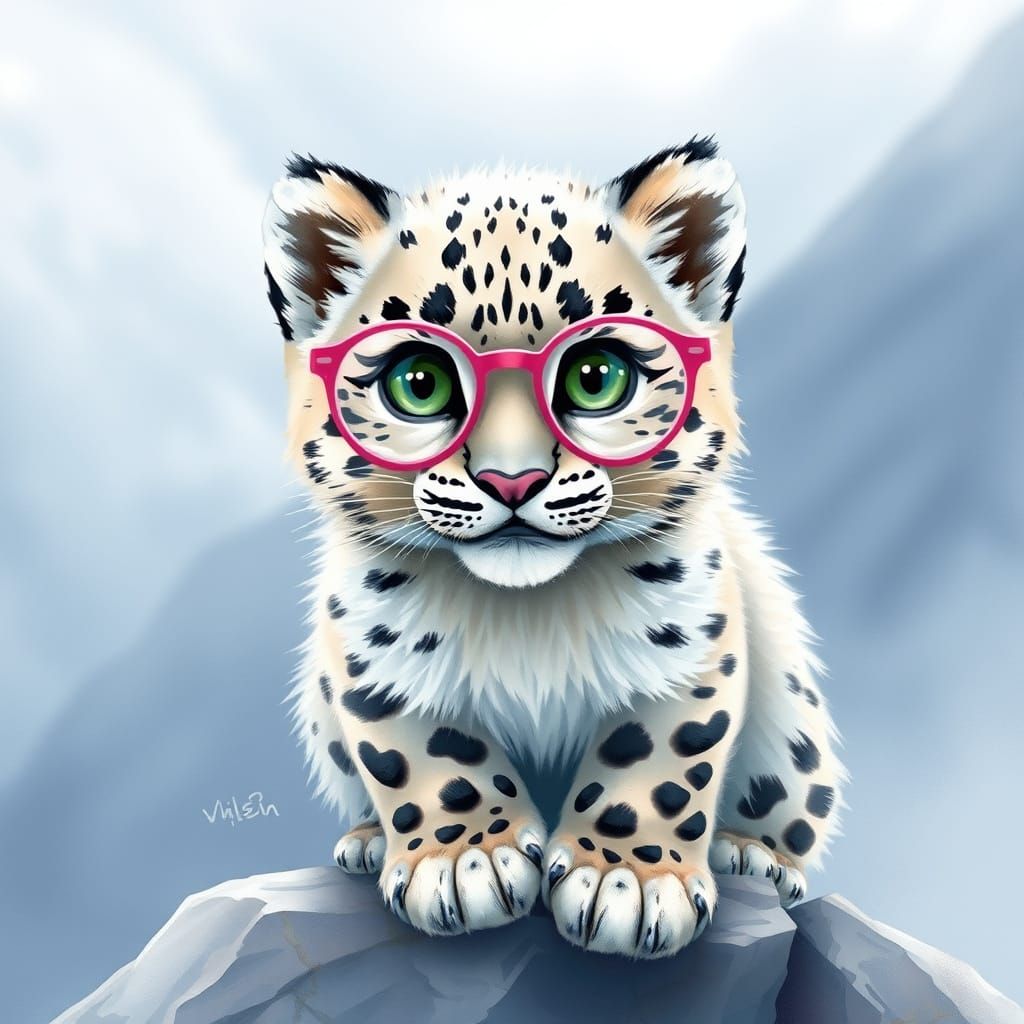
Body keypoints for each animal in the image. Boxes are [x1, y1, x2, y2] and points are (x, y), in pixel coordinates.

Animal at [261, 137, 845, 958]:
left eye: (598, 377)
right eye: (418, 381)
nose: (514, 479)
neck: (525, 616)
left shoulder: (687, 648)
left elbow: (660, 760)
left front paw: (625, 881)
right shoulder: (378, 659)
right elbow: (425, 756)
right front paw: (466, 860)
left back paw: (751, 855)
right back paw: (367, 842)